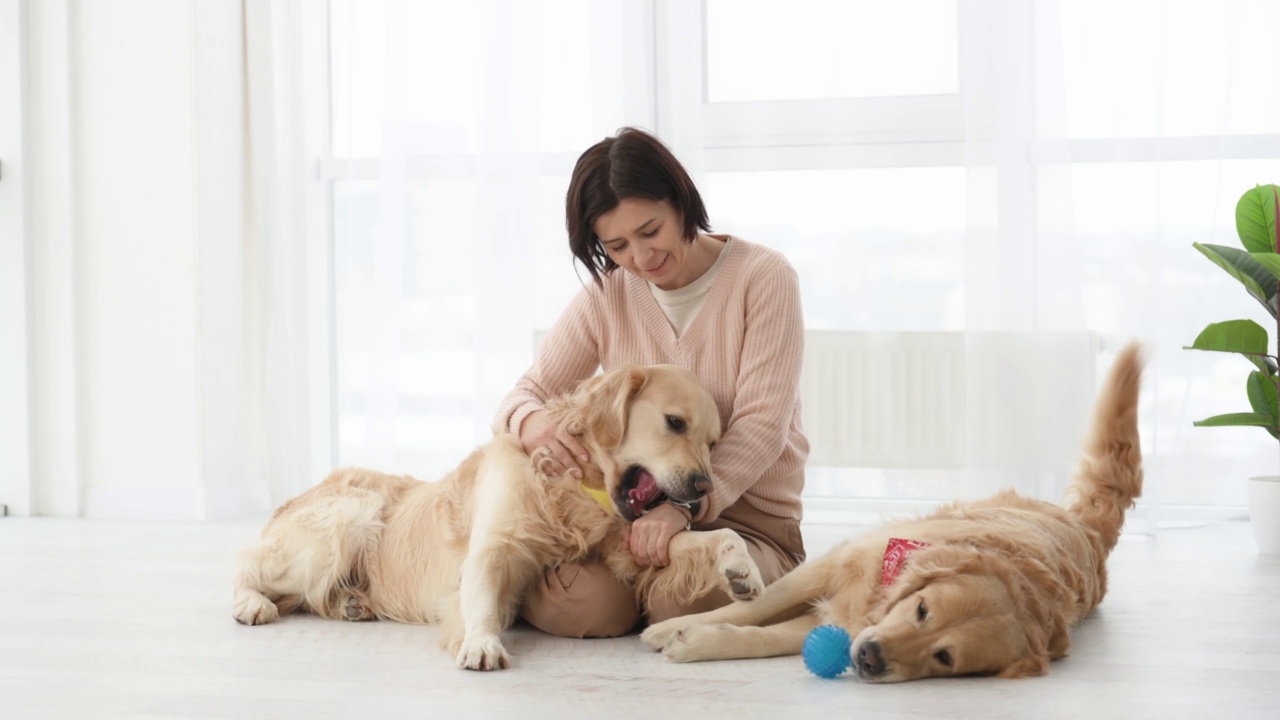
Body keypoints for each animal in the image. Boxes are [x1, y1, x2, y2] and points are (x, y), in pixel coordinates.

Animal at [234, 361, 762, 671]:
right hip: (350, 515)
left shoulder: (627, 546)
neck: (572, 488)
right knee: (247, 566)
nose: (704, 488)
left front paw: (741, 569)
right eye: (674, 423)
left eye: (713, 442)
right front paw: (482, 643)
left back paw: (351, 603)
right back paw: (253, 605)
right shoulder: (490, 550)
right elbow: (482, 602)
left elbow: (707, 537)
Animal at [645, 340, 1146, 676]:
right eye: (922, 610)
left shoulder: (843, 618)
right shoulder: (834, 564)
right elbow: (755, 606)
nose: (871, 658)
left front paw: (697, 642)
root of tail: (1087, 529)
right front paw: (674, 628)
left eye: (944, 657)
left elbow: (764, 637)